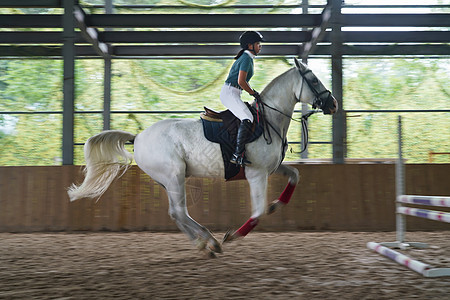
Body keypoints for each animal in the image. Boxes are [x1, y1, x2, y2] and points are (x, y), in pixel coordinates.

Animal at [68, 59, 336, 258]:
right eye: (313, 79)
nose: (332, 103)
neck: (267, 120)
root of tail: (139, 137)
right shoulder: (256, 174)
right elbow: (258, 212)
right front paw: (232, 236)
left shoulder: (270, 168)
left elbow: (295, 175)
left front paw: (276, 204)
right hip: (174, 175)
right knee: (179, 211)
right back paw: (211, 241)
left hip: (170, 180)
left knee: (175, 213)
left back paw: (203, 244)